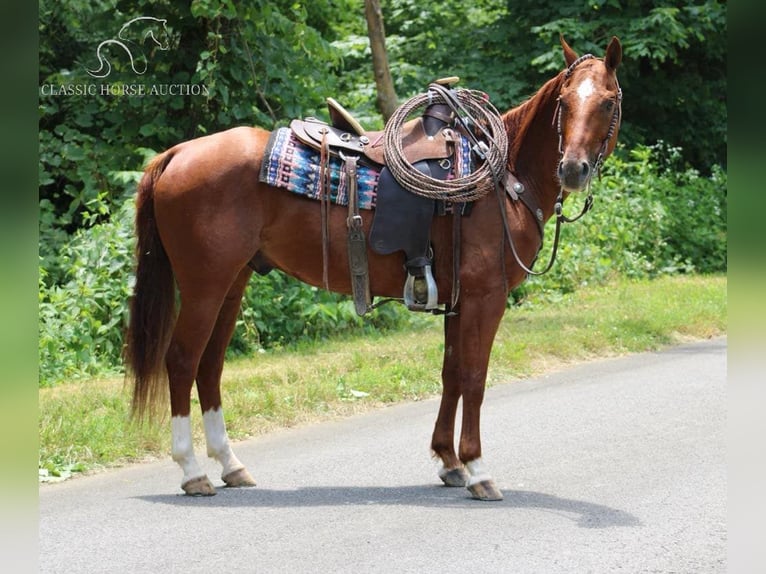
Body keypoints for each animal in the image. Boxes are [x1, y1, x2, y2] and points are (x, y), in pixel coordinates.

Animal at [121, 36, 624, 502]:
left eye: (608, 101)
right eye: (564, 102)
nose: (573, 168)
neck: (503, 180)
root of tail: (177, 153)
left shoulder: (458, 301)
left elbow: (452, 373)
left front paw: (448, 460)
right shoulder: (487, 297)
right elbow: (475, 378)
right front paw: (477, 469)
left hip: (232, 283)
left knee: (210, 366)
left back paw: (230, 464)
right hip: (204, 285)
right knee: (182, 361)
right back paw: (192, 471)